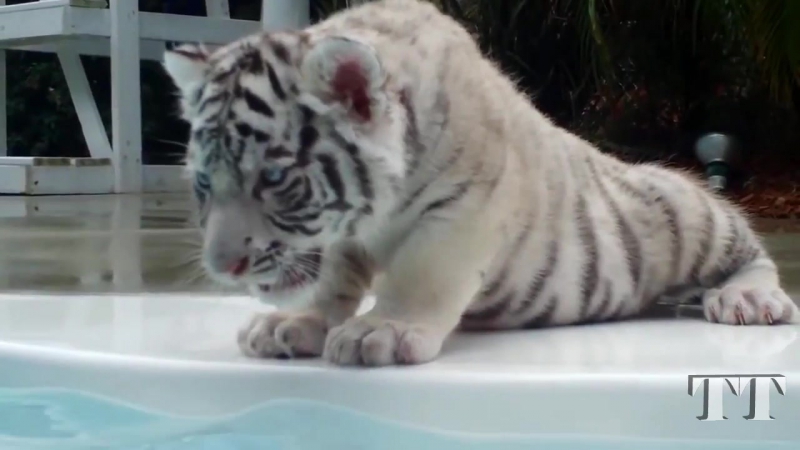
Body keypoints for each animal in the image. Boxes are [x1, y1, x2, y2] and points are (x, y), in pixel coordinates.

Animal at [162, 0, 799, 367]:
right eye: (203, 182)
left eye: (273, 176)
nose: (224, 269)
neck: (373, 213)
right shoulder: (344, 235)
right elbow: (331, 280)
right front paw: (295, 323)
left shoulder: (463, 209)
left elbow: (421, 273)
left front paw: (381, 330)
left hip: (687, 210)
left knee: (748, 248)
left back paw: (747, 298)